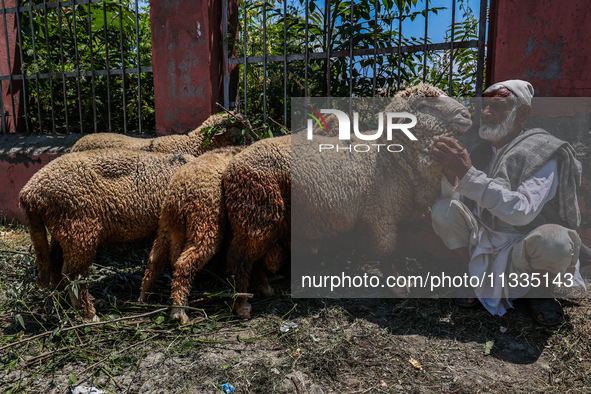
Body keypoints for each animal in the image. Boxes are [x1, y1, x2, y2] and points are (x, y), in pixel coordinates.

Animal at [19, 149, 195, 322]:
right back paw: (88, 313)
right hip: (80, 229)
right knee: (73, 275)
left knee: (56, 265)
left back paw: (62, 302)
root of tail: (29, 193)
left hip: (62, 230)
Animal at [139, 145, 245, 324]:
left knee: (154, 260)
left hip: (165, 228)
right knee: (184, 264)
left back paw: (143, 298)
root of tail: (178, 198)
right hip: (204, 225)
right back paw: (179, 311)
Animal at [224, 84, 474, 320]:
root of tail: (232, 165)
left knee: (254, 256)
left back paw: (264, 288)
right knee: (240, 259)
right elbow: (387, 251)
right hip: (255, 210)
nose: (466, 114)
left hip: (264, 215)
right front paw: (397, 286)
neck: (390, 158)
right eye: (423, 105)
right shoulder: (380, 214)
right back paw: (242, 305)